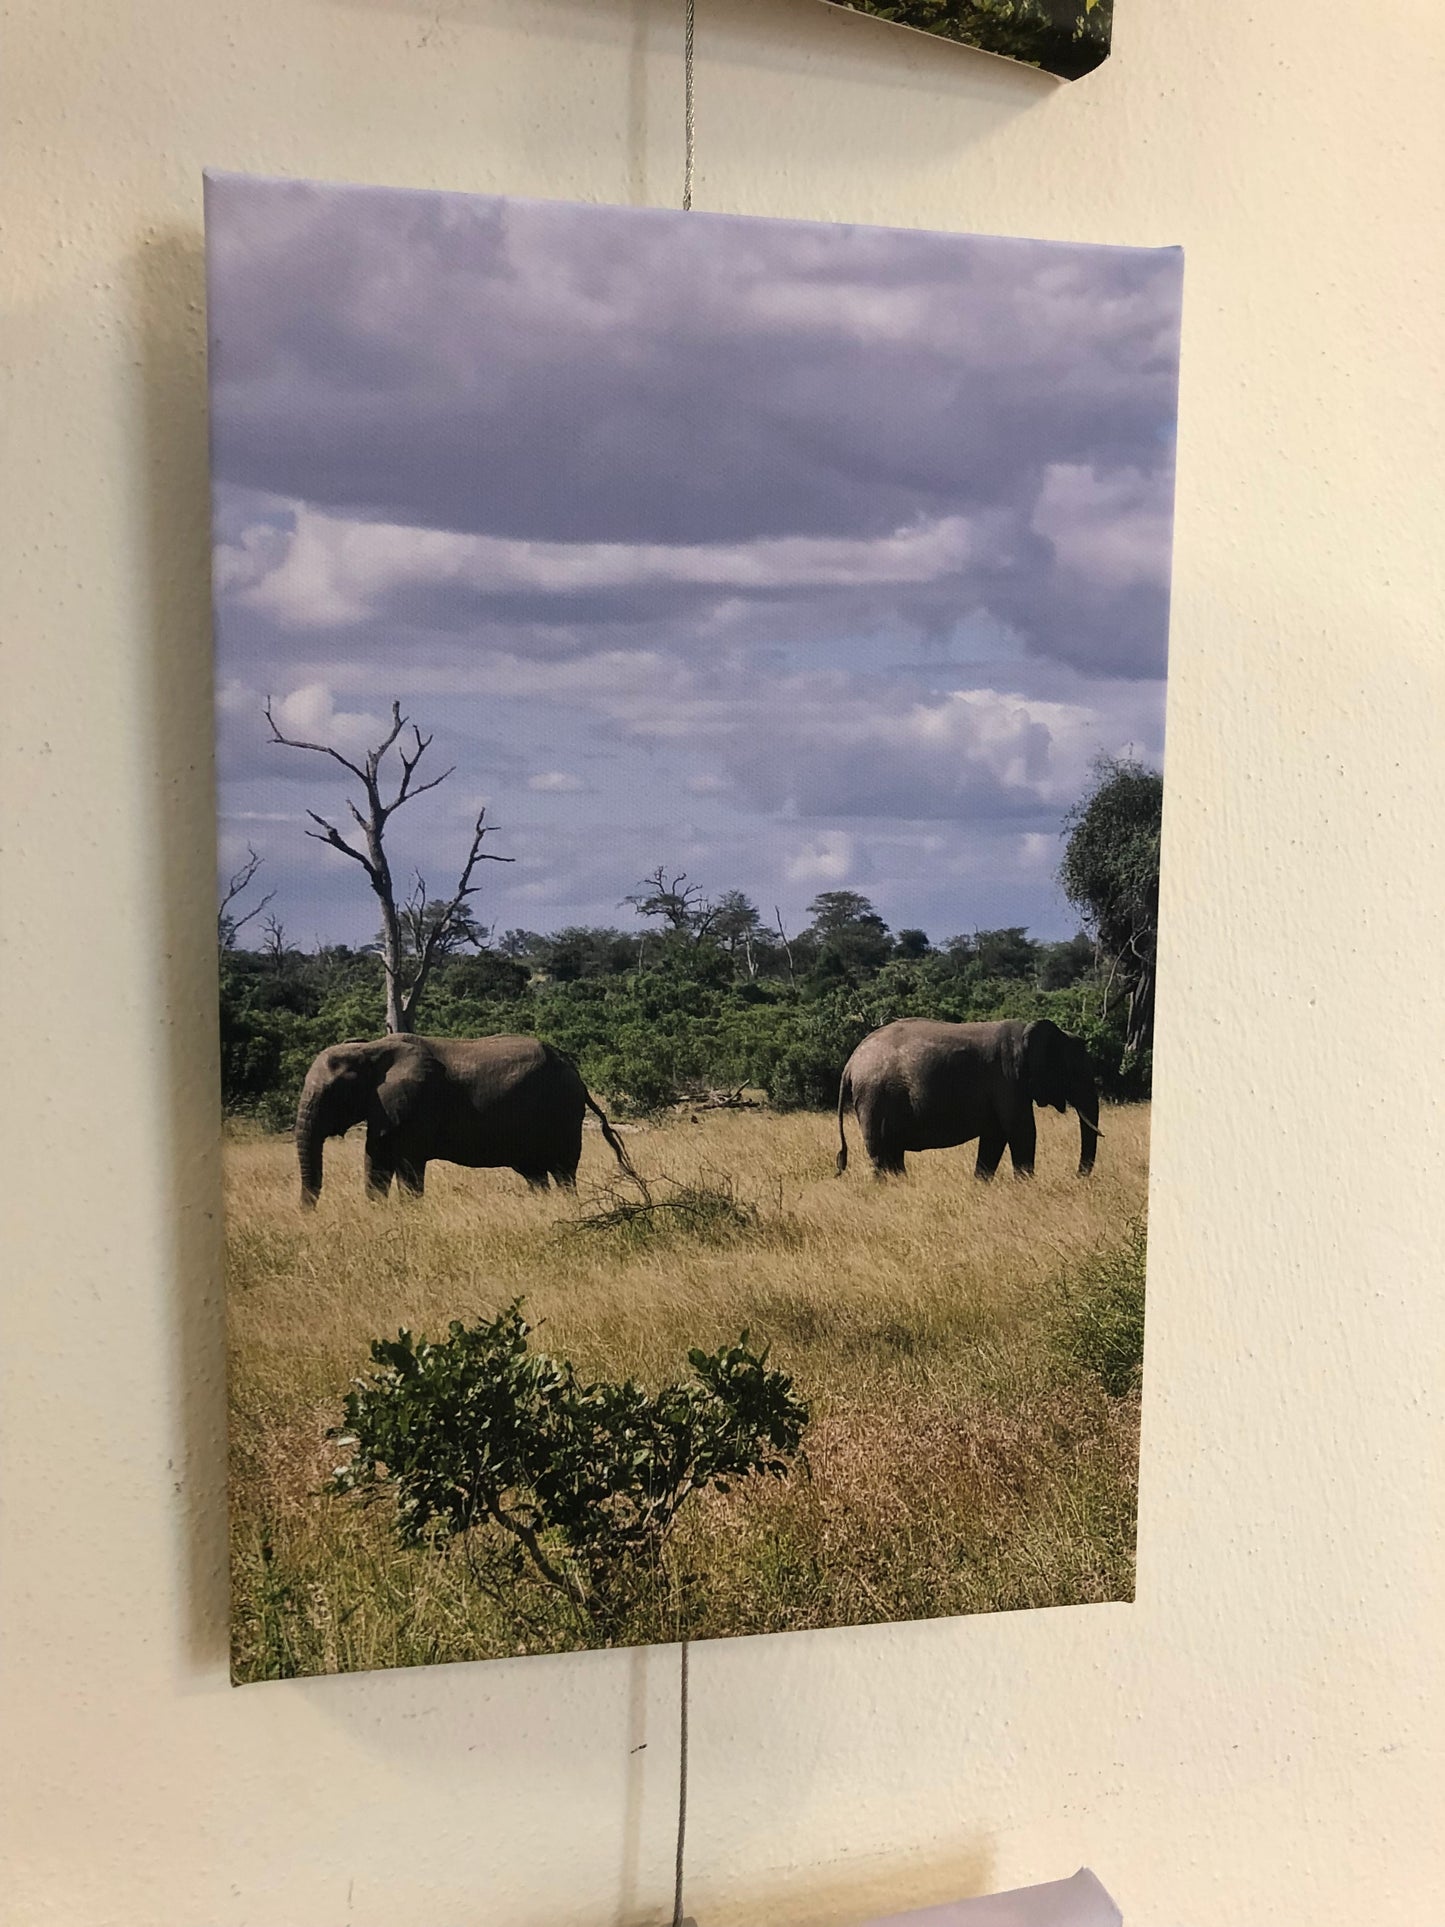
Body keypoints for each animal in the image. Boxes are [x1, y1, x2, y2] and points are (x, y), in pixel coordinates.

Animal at [294, 1040, 631, 1202]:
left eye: (332, 1092)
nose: (308, 1215)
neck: (368, 1049)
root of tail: (577, 1074)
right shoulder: (385, 1109)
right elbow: (375, 1164)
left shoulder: (415, 1104)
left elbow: (408, 1167)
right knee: (536, 1175)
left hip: (563, 1113)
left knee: (563, 1172)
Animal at [836, 1017, 1094, 1179]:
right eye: (1074, 1073)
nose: (1077, 1176)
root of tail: (850, 1063)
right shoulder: (1007, 1079)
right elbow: (1022, 1131)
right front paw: (1026, 1185)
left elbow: (995, 1137)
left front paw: (980, 1184)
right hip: (874, 1097)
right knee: (882, 1153)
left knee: (893, 1153)